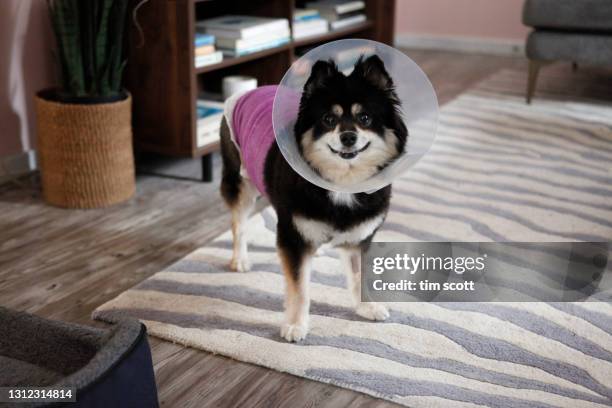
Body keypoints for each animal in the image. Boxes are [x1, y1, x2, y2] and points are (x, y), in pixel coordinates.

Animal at [219, 54, 406, 342]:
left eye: (365, 118)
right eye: (329, 119)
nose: (348, 137)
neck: (342, 184)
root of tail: (250, 90)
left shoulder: (359, 238)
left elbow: (357, 276)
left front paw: (366, 307)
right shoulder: (292, 238)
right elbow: (300, 289)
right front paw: (296, 325)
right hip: (242, 182)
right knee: (238, 222)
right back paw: (240, 259)